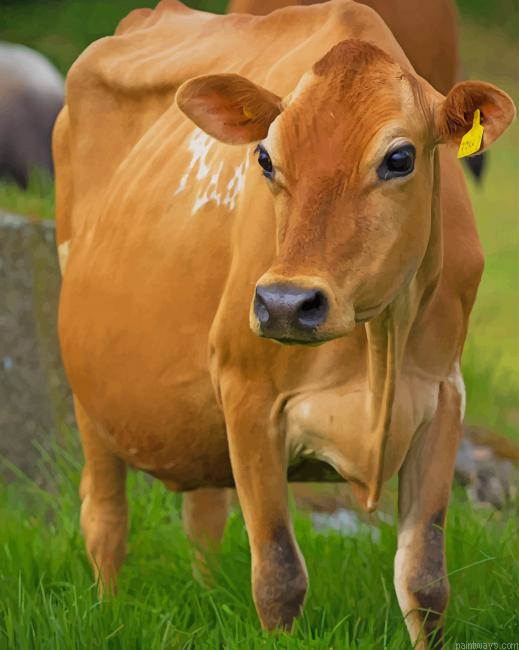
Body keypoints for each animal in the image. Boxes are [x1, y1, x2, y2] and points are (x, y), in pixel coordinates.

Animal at [54, 1, 515, 647]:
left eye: (400, 158)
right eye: (265, 158)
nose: (286, 304)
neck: (380, 343)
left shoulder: (444, 395)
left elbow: (425, 582)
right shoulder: (249, 394)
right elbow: (278, 575)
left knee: (204, 515)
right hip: (89, 395)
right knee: (104, 515)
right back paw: (109, 611)